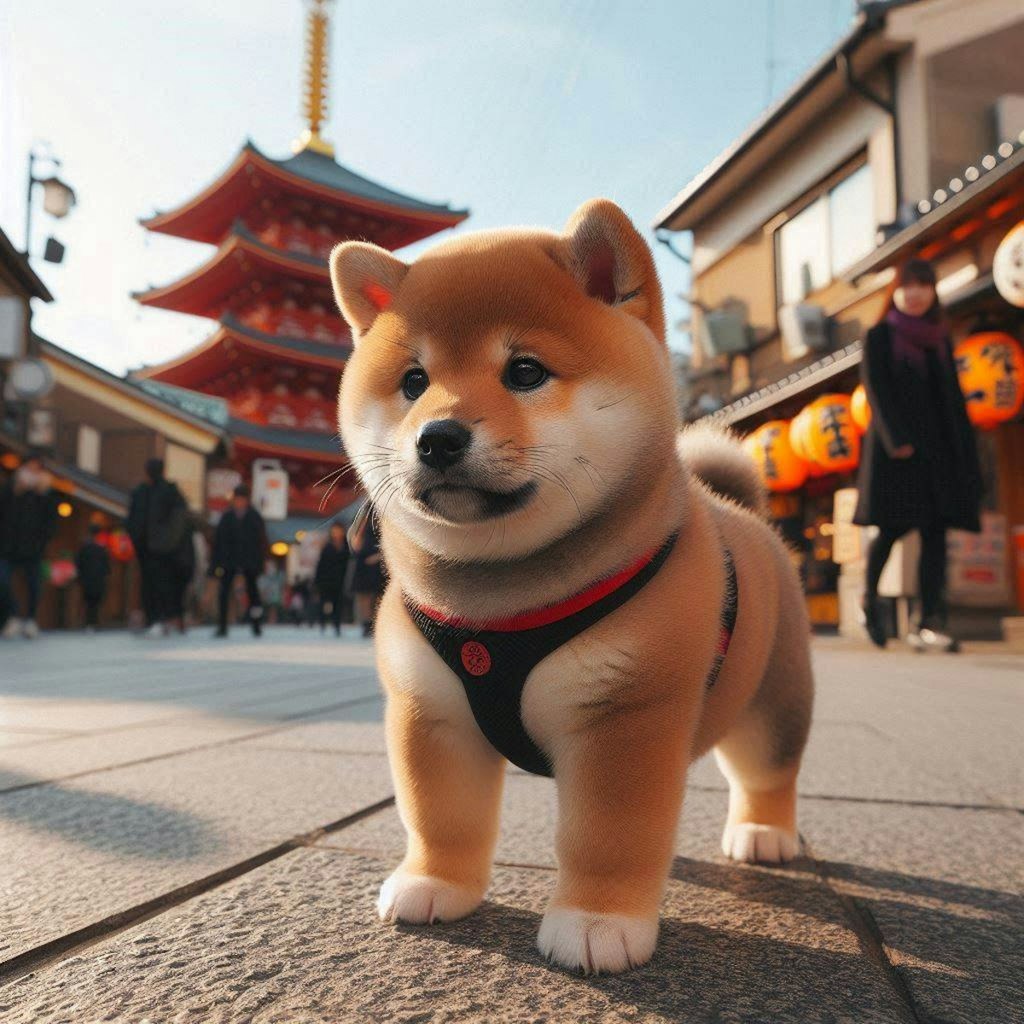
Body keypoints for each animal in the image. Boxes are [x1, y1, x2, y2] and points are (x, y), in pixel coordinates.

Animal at [331, 195, 811, 970]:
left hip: (773, 694)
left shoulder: (625, 714)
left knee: (768, 767)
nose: (436, 436)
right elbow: (440, 815)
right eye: (412, 383)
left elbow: (609, 833)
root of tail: (743, 515)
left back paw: (764, 833)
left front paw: (597, 922)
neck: (500, 600)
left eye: (525, 371)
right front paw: (434, 884)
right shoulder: (429, 712)